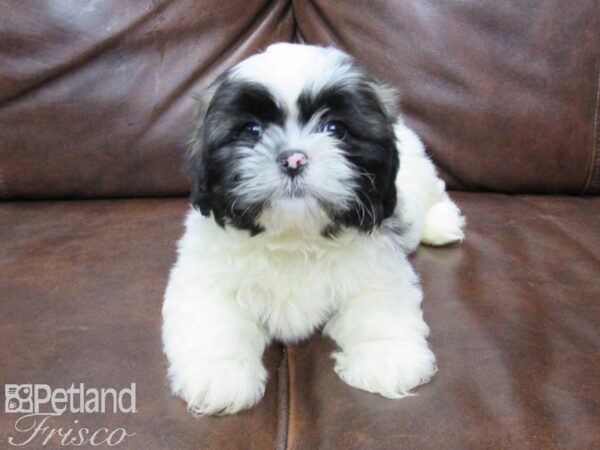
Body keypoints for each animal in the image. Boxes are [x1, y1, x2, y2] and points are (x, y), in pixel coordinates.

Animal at [162, 43, 466, 414]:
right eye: (252, 131)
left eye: (335, 129)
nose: (294, 159)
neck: (295, 235)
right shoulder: (205, 276)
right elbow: (213, 317)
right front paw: (219, 373)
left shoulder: (377, 268)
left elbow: (380, 306)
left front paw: (386, 356)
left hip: (419, 172)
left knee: (435, 190)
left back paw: (441, 224)